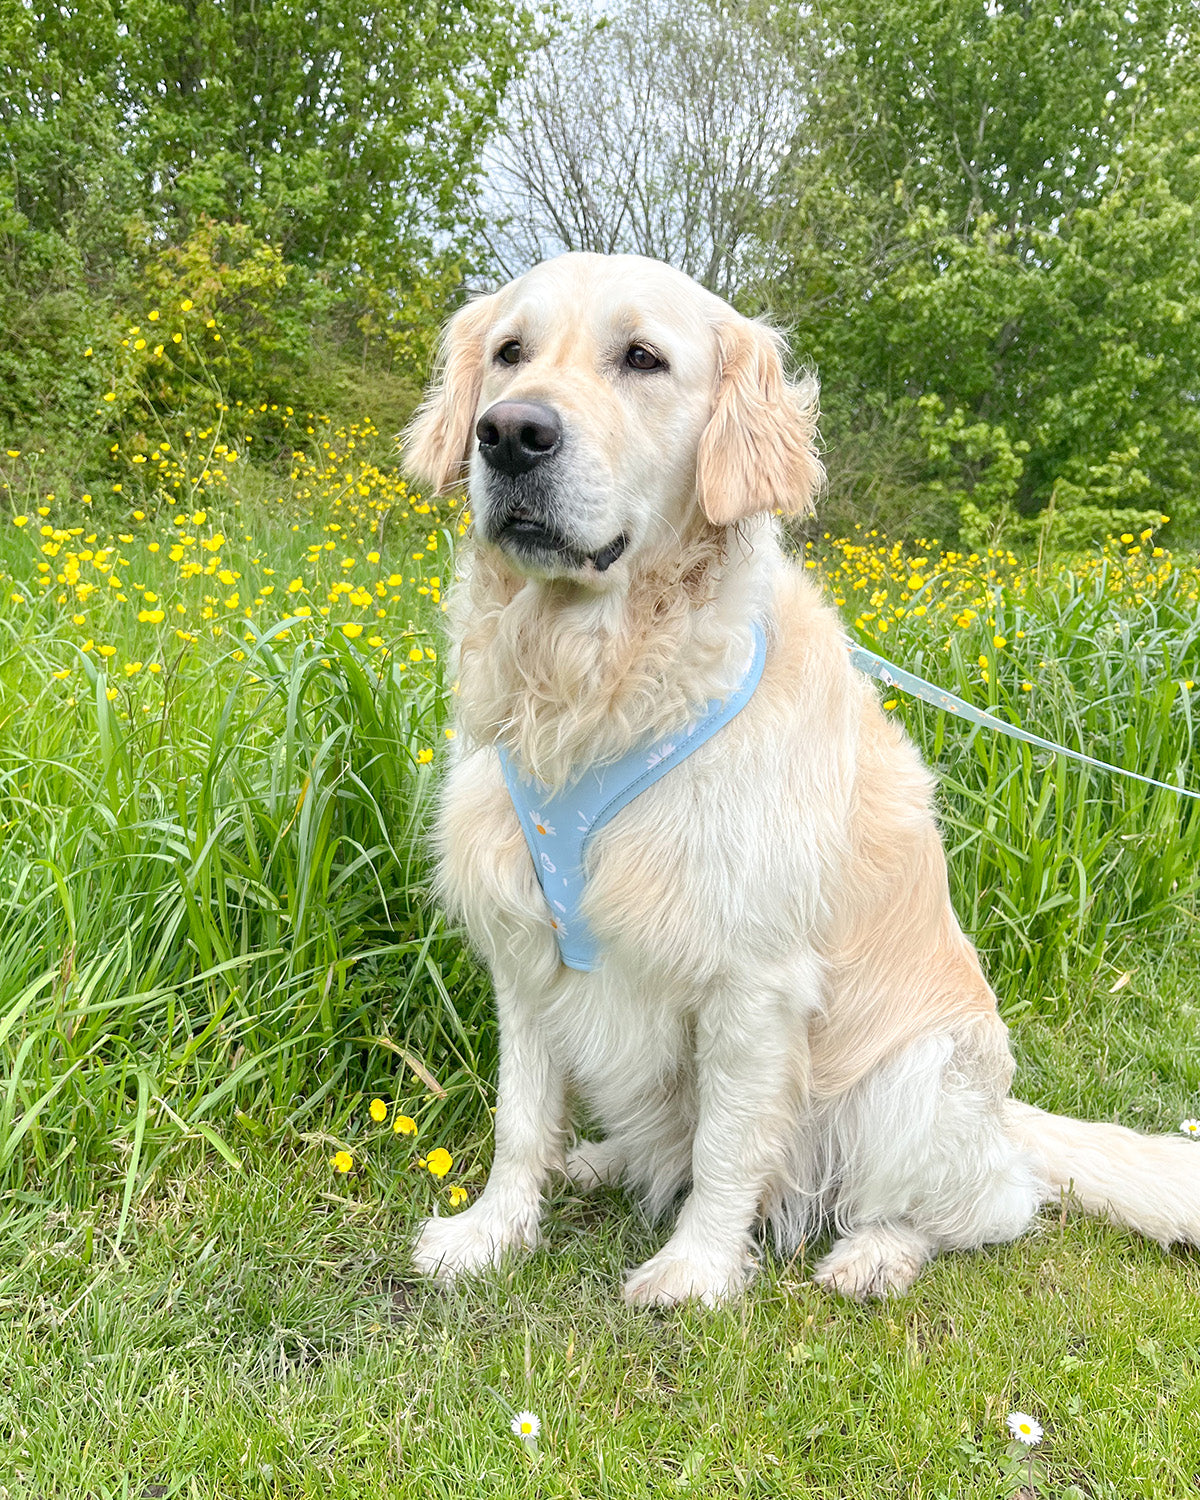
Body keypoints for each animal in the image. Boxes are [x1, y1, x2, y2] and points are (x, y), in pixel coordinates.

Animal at [402, 252, 1200, 1308]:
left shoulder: (752, 981)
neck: (595, 683)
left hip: (913, 1081)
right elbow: (522, 1121)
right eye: (508, 352)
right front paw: (491, 1234)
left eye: (643, 358)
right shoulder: (527, 952)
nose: (509, 434)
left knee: (987, 1205)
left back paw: (877, 1253)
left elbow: (729, 1145)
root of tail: (1003, 1118)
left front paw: (696, 1271)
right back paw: (601, 1161)